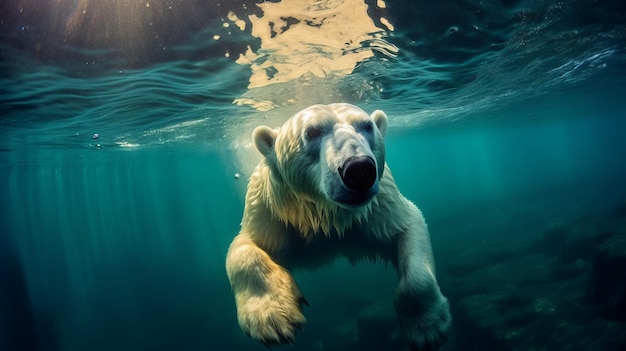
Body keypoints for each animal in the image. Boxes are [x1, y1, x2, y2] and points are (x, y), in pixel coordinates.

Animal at [224, 103, 448, 350]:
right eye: (311, 132)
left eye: (367, 125)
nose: (359, 169)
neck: (326, 216)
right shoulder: (275, 213)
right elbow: (246, 247)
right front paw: (273, 318)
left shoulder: (376, 210)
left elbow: (409, 228)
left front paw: (427, 328)